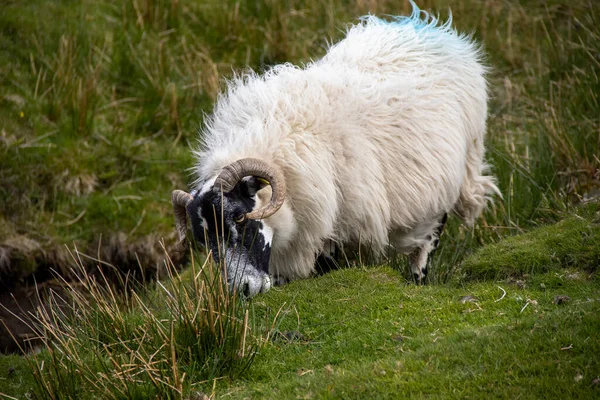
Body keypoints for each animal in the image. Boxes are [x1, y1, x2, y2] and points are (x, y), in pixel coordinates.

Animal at [170, 2, 502, 296]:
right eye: (203, 239)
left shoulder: (336, 227)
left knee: (427, 244)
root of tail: (427, 26)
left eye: (239, 218)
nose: (243, 290)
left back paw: (418, 279)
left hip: (449, 182)